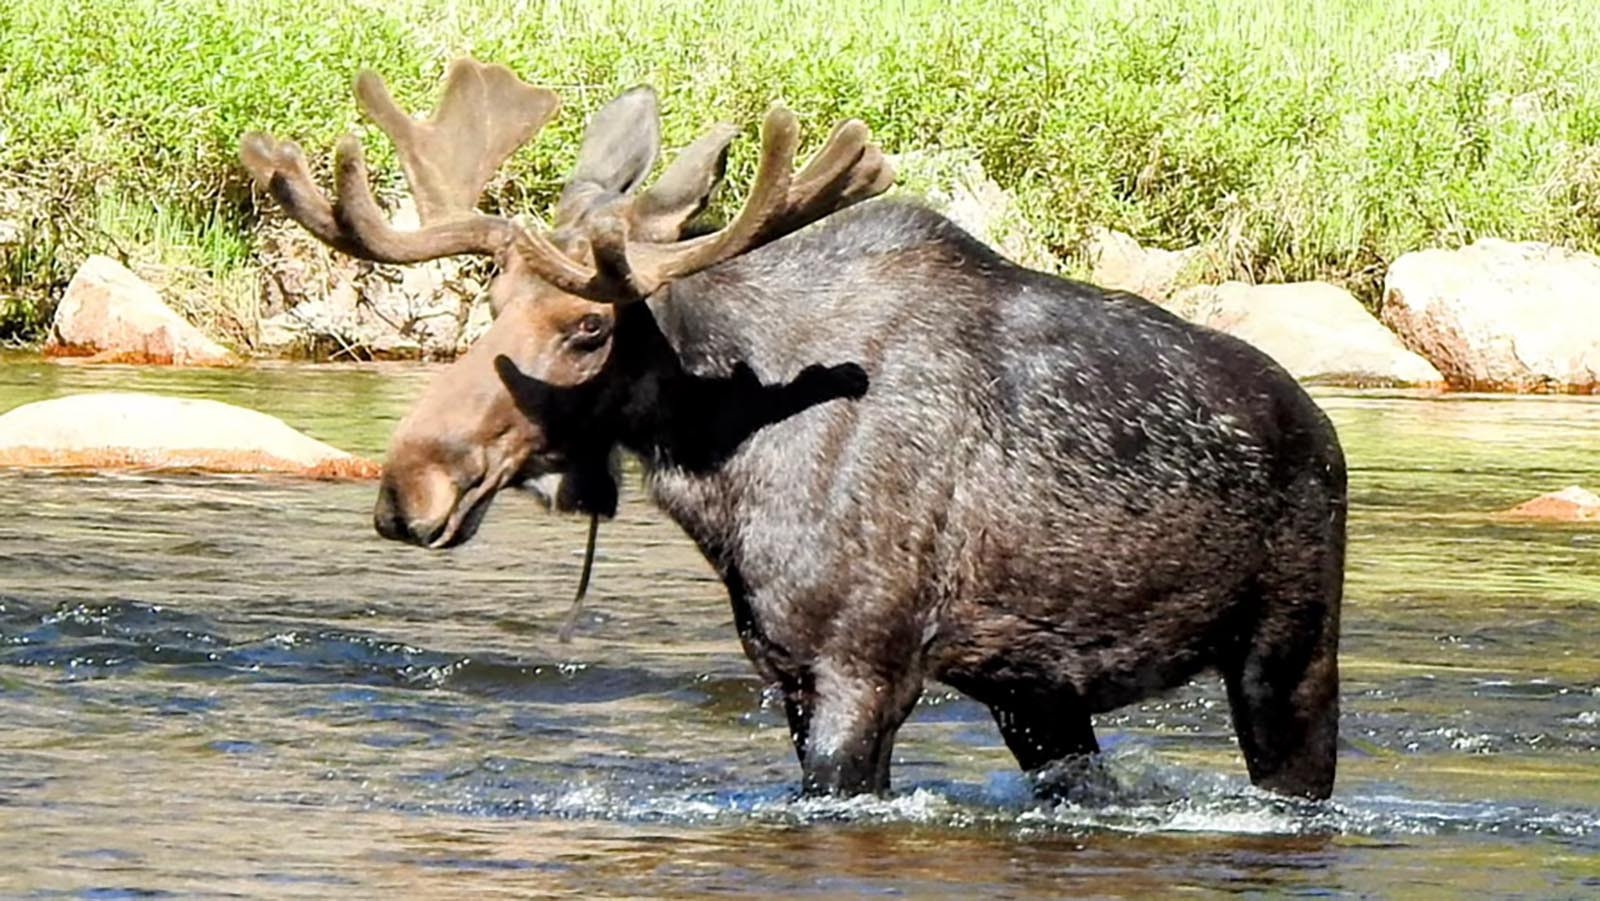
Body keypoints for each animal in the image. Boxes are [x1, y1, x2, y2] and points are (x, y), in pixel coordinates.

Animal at [243, 60, 1344, 800]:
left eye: (589, 327)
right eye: (491, 302)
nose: (408, 488)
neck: (724, 470)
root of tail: (1320, 425)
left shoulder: (866, 669)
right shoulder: (788, 671)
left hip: (1288, 648)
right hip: (1035, 689)